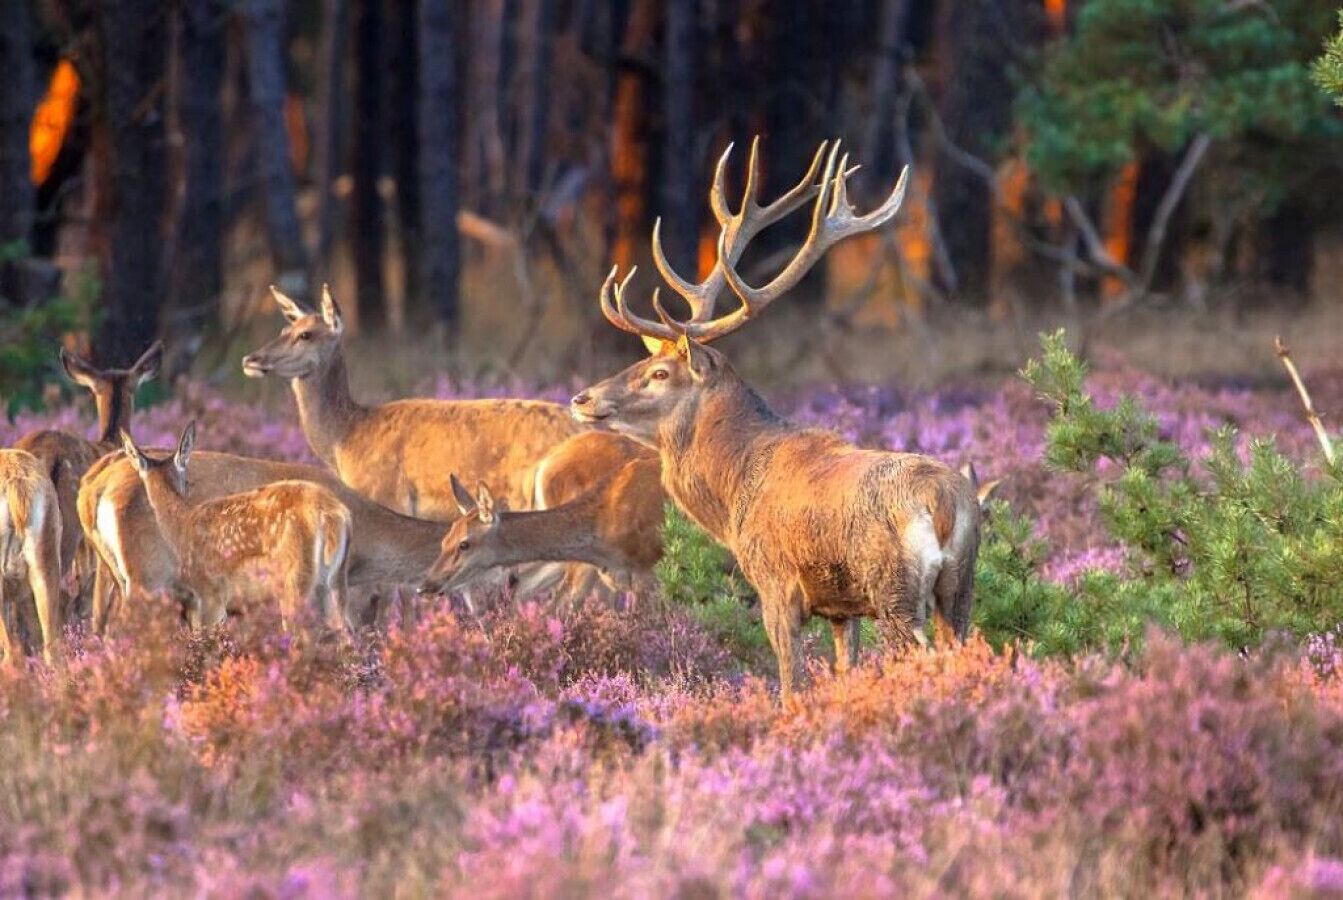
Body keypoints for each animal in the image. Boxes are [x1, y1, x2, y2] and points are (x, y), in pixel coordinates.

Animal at [119, 423, 353, 631]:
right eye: (185, 479)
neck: (182, 526)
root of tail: (333, 514)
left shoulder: (210, 592)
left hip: (294, 578)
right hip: (335, 579)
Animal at [570, 138, 984, 702]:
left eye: (659, 372)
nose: (582, 398)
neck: (732, 489)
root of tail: (943, 502)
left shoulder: (775, 582)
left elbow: (790, 684)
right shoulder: (842, 607)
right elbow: (844, 668)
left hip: (894, 586)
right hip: (961, 584)